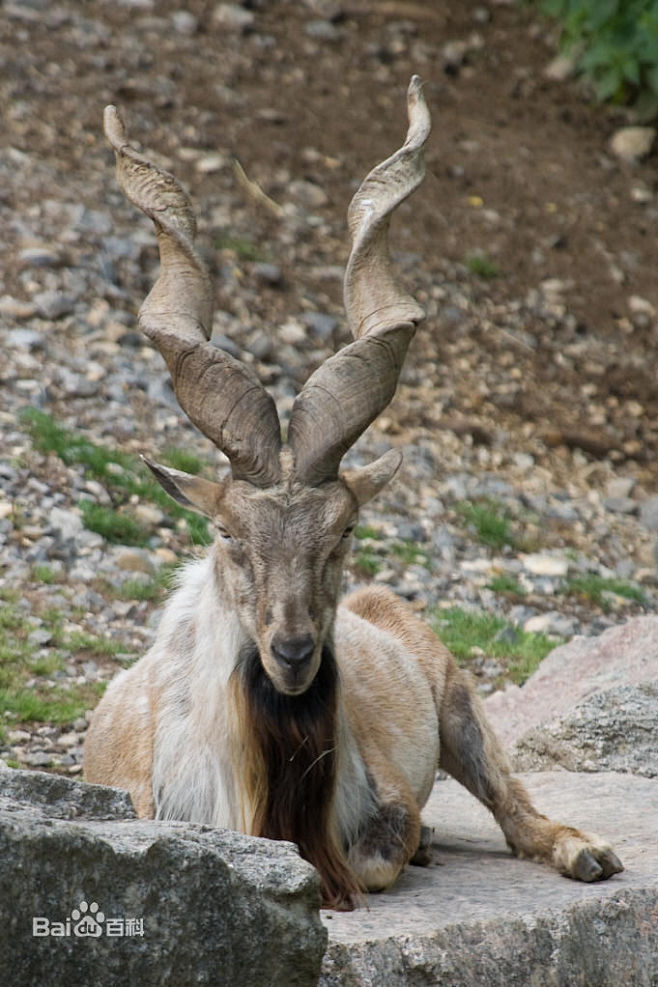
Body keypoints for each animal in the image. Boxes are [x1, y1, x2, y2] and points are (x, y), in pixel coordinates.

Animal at [84, 79, 624, 912]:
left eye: (344, 530)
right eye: (228, 534)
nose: (294, 652)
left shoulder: (384, 800)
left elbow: (378, 854)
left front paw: (416, 846)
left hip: (461, 706)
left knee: (515, 809)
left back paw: (588, 852)